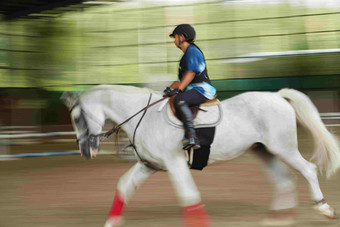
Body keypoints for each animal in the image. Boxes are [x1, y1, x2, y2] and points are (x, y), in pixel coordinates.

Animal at [61, 84, 340, 226]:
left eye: (77, 118)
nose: (86, 151)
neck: (145, 116)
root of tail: (277, 96)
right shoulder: (149, 165)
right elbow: (124, 187)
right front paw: (111, 222)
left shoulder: (175, 163)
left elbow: (189, 197)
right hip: (264, 152)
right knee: (283, 181)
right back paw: (277, 219)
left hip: (283, 148)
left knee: (308, 170)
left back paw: (323, 208)